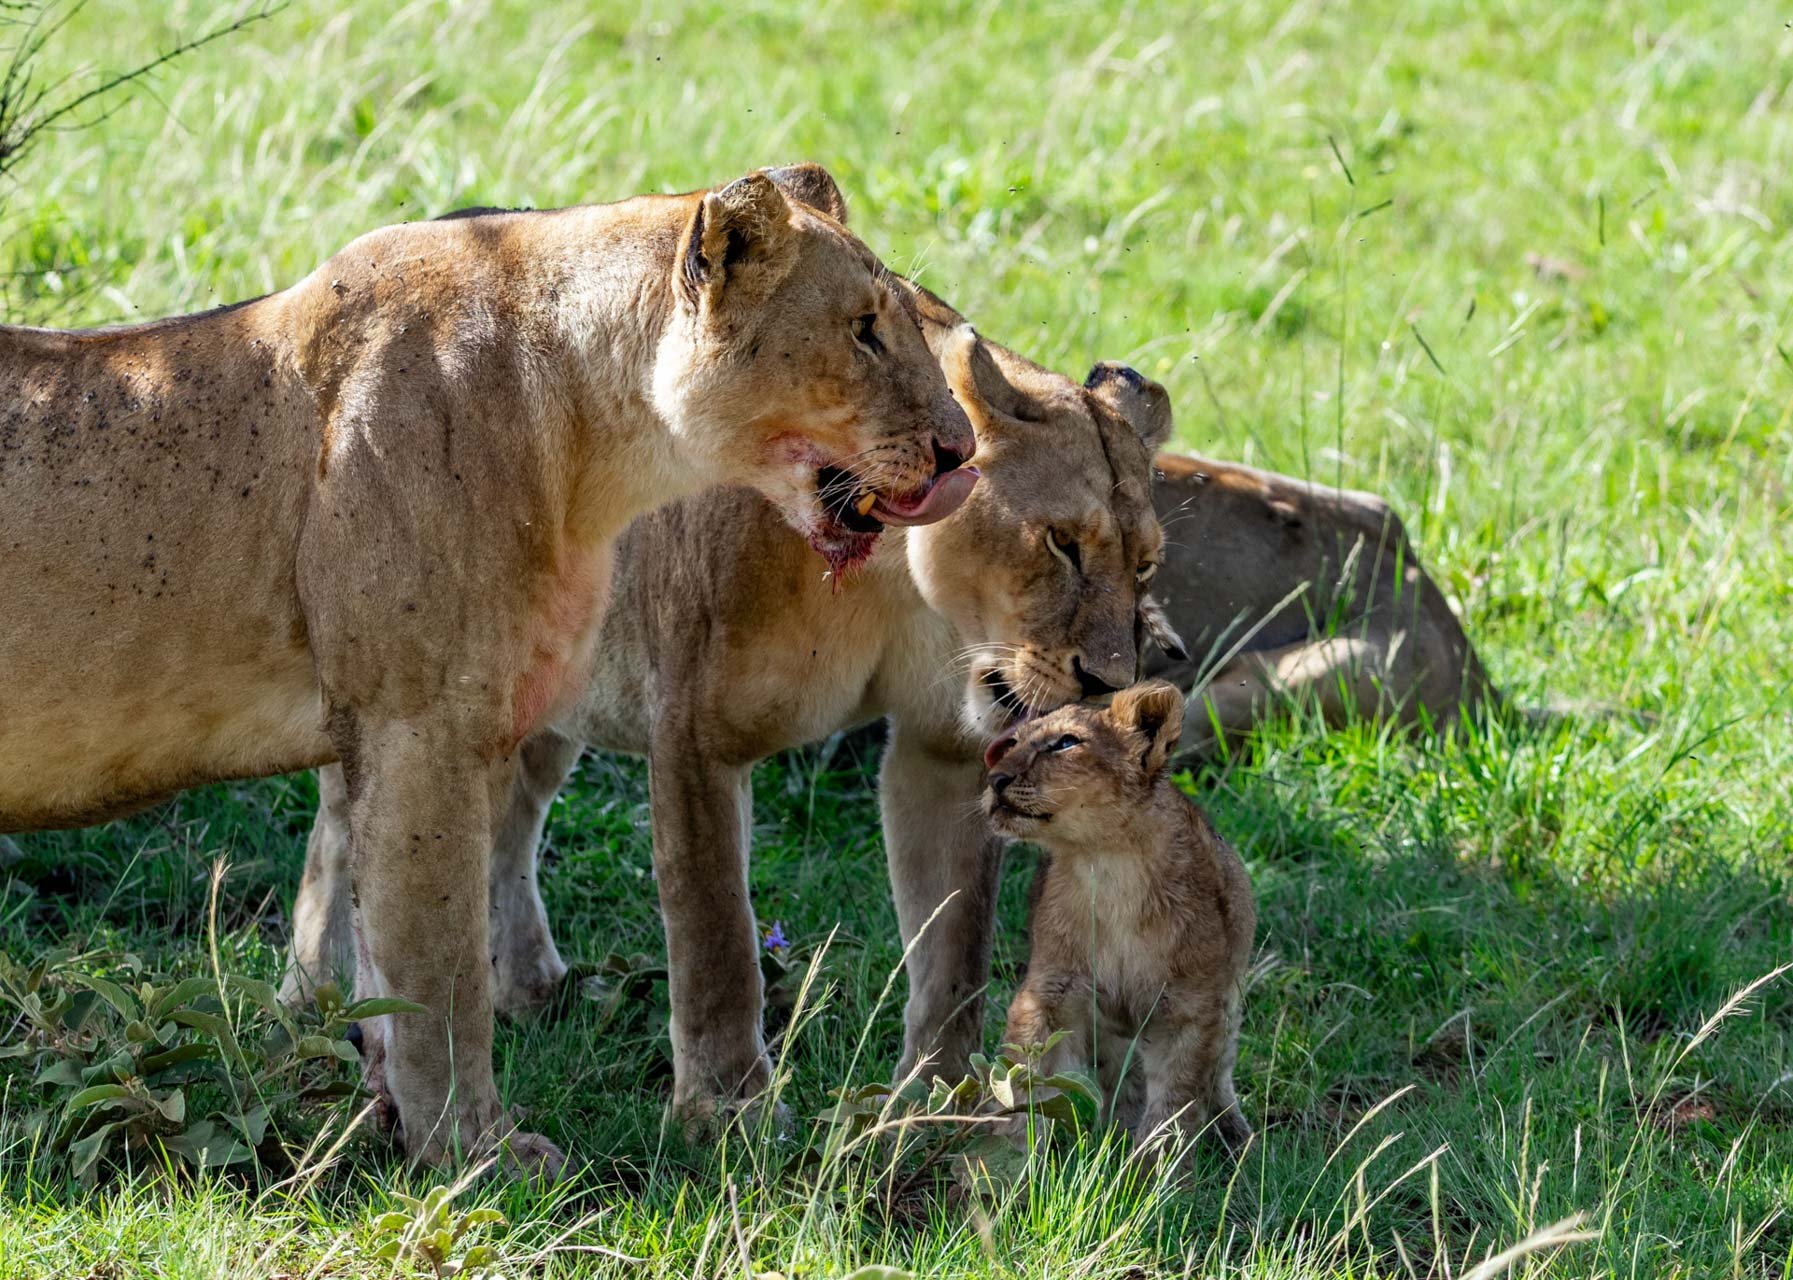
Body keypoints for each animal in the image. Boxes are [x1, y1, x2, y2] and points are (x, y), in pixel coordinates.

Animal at [0, 164, 982, 1168]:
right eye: (862, 328)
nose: (963, 449)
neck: (597, 444)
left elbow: (392, 964)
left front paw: (394, 1121)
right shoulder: (418, 726)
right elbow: (440, 969)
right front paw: (478, 1155)